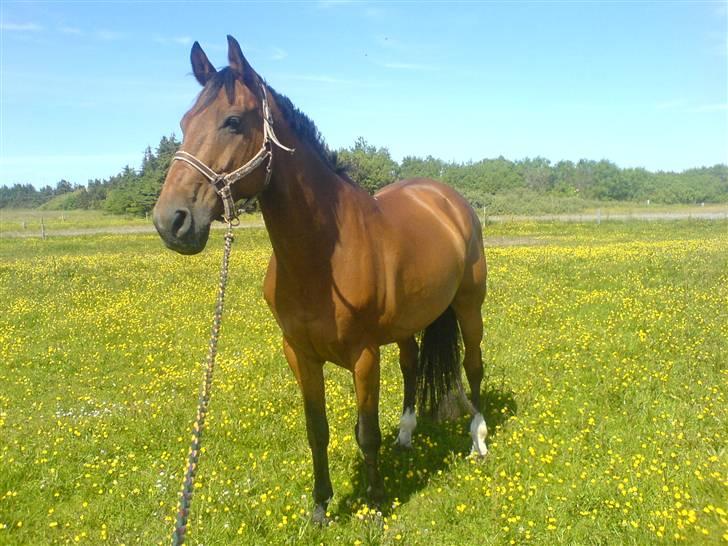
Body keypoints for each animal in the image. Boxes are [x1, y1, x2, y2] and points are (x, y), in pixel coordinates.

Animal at [152, 35, 490, 524]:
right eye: (183, 122)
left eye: (233, 121)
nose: (171, 221)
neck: (321, 258)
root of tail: (447, 199)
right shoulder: (300, 354)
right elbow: (318, 430)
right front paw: (320, 507)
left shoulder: (364, 356)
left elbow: (366, 433)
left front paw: (375, 505)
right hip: (408, 325)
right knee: (411, 367)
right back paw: (407, 435)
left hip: (469, 305)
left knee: (473, 366)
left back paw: (479, 438)